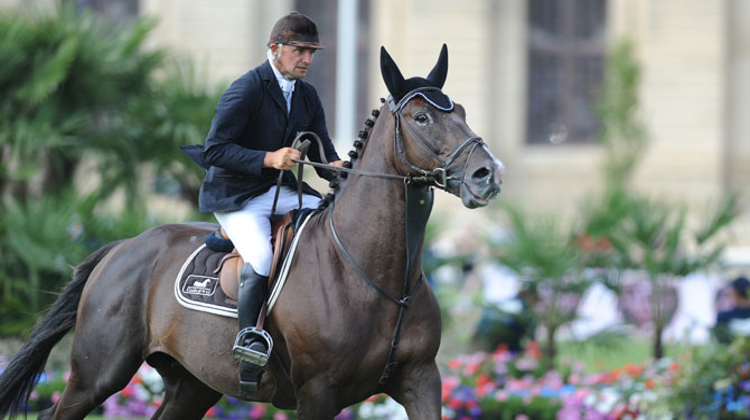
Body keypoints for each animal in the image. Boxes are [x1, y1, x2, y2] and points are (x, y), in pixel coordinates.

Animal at [1, 44, 506, 418]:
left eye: (461, 111)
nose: (488, 173)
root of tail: (122, 248)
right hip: (98, 373)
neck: (378, 276)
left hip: (192, 384)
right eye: (422, 118)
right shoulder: (318, 392)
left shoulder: (421, 380)